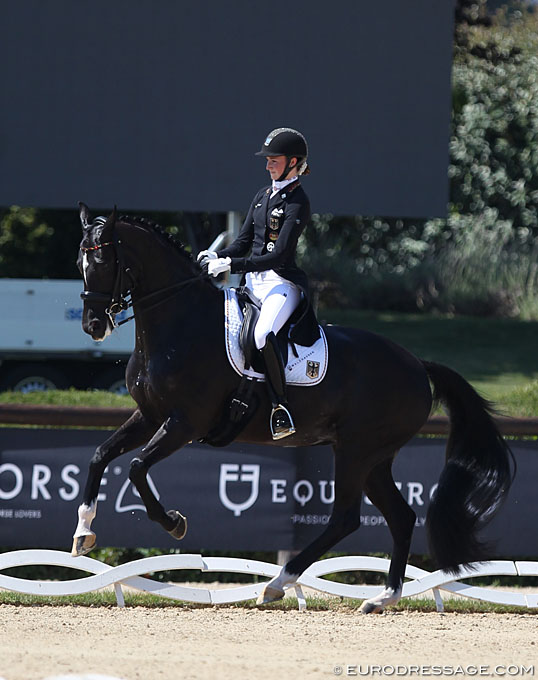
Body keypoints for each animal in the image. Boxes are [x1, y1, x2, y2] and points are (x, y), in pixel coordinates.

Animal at [74, 205, 510, 612]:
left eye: (103, 262)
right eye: (80, 264)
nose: (93, 326)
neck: (181, 323)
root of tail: (418, 364)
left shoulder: (184, 423)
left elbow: (136, 468)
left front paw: (174, 523)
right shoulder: (150, 416)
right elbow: (100, 455)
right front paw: (83, 533)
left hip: (356, 451)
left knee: (345, 518)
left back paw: (278, 583)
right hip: (374, 458)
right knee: (400, 517)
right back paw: (382, 598)